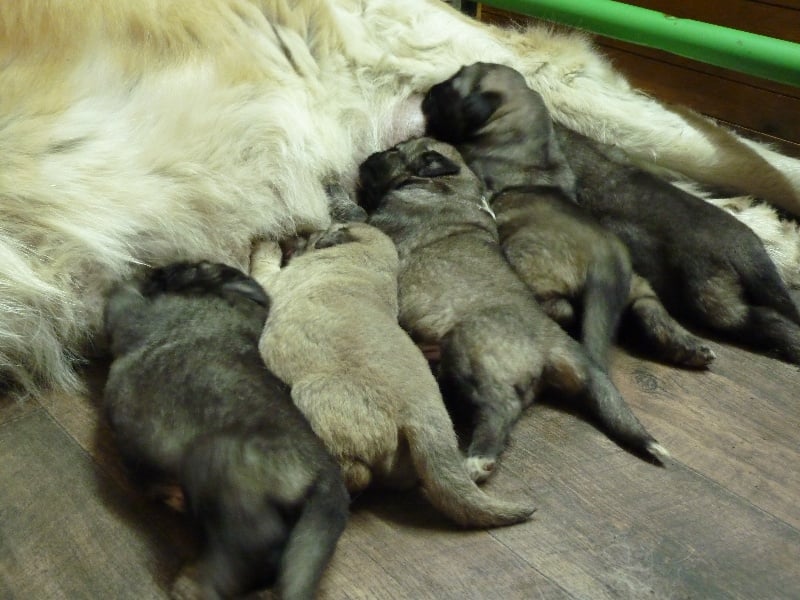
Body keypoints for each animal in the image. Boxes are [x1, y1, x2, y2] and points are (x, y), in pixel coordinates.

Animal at [102, 262, 346, 600]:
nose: (158, 271)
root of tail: (328, 477)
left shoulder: (128, 313)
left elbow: (120, 294)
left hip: (215, 460)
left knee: (252, 545)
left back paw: (194, 582)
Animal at [250, 220, 536, 524]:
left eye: (315, 235)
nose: (295, 237)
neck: (366, 255)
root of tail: (425, 416)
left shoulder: (274, 282)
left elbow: (264, 263)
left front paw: (265, 243)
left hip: (311, 394)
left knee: (357, 473)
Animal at [360, 137, 664, 482]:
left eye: (394, 151)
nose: (368, 158)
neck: (450, 182)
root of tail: (553, 338)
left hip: (470, 350)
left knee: (499, 408)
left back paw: (478, 460)